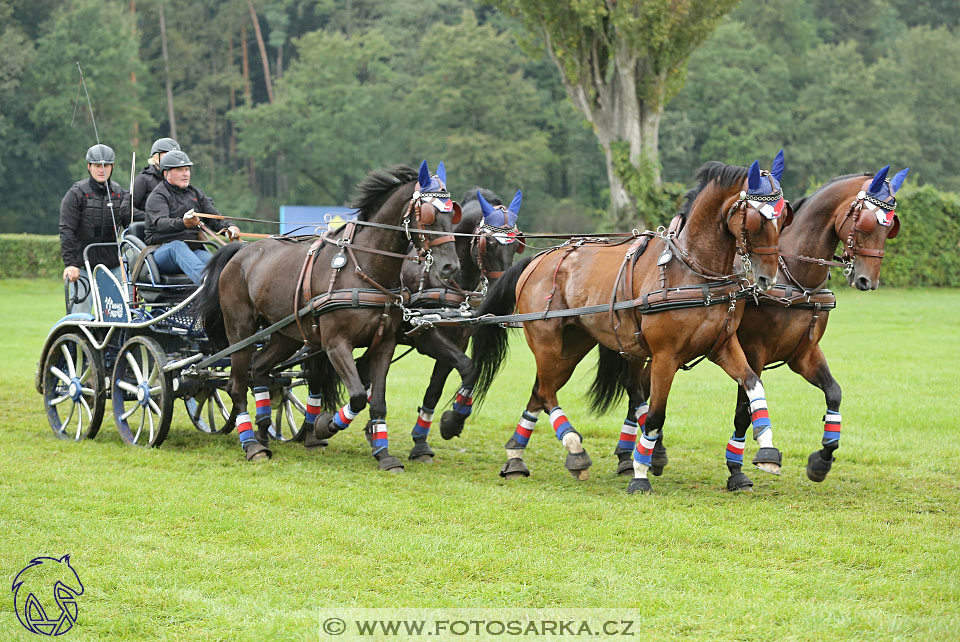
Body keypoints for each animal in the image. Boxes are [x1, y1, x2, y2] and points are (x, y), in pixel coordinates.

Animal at [197, 161, 460, 470]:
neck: (364, 269)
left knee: (259, 369)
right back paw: (251, 444)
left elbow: (377, 401)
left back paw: (262, 432)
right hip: (241, 331)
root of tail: (242, 250)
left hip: (286, 334)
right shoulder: (335, 344)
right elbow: (357, 396)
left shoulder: (384, 344)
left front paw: (383, 454)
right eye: (428, 214)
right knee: (236, 384)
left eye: (452, 212)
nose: (450, 267)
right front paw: (324, 426)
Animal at [396, 185, 524, 460]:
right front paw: (453, 421)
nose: (500, 293)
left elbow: (439, 387)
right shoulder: (426, 335)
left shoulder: (459, 340)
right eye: (489, 243)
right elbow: (467, 367)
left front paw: (425, 439)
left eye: (516, 245)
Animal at [468, 154, 792, 490]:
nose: (768, 278)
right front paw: (639, 473)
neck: (693, 270)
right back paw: (575, 448)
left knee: (542, 390)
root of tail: (539, 258)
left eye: (784, 218)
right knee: (546, 393)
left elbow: (754, 384)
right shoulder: (664, 357)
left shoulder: (723, 346)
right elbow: (656, 415)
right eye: (756, 220)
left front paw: (767, 448)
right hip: (546, 340)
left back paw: (517, 456)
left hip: (573, 345)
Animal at [592, 162, 908, 488]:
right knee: (635, 388)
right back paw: (637, 453)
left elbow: (834, 392)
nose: (868, 280)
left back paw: (640, 454)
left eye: (890, 227)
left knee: (642, 388)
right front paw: (742, 466)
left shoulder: (803, 354)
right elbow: (743, 411)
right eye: (868, 223)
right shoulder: (754, 351)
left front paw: (821, 461)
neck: (794, 279)